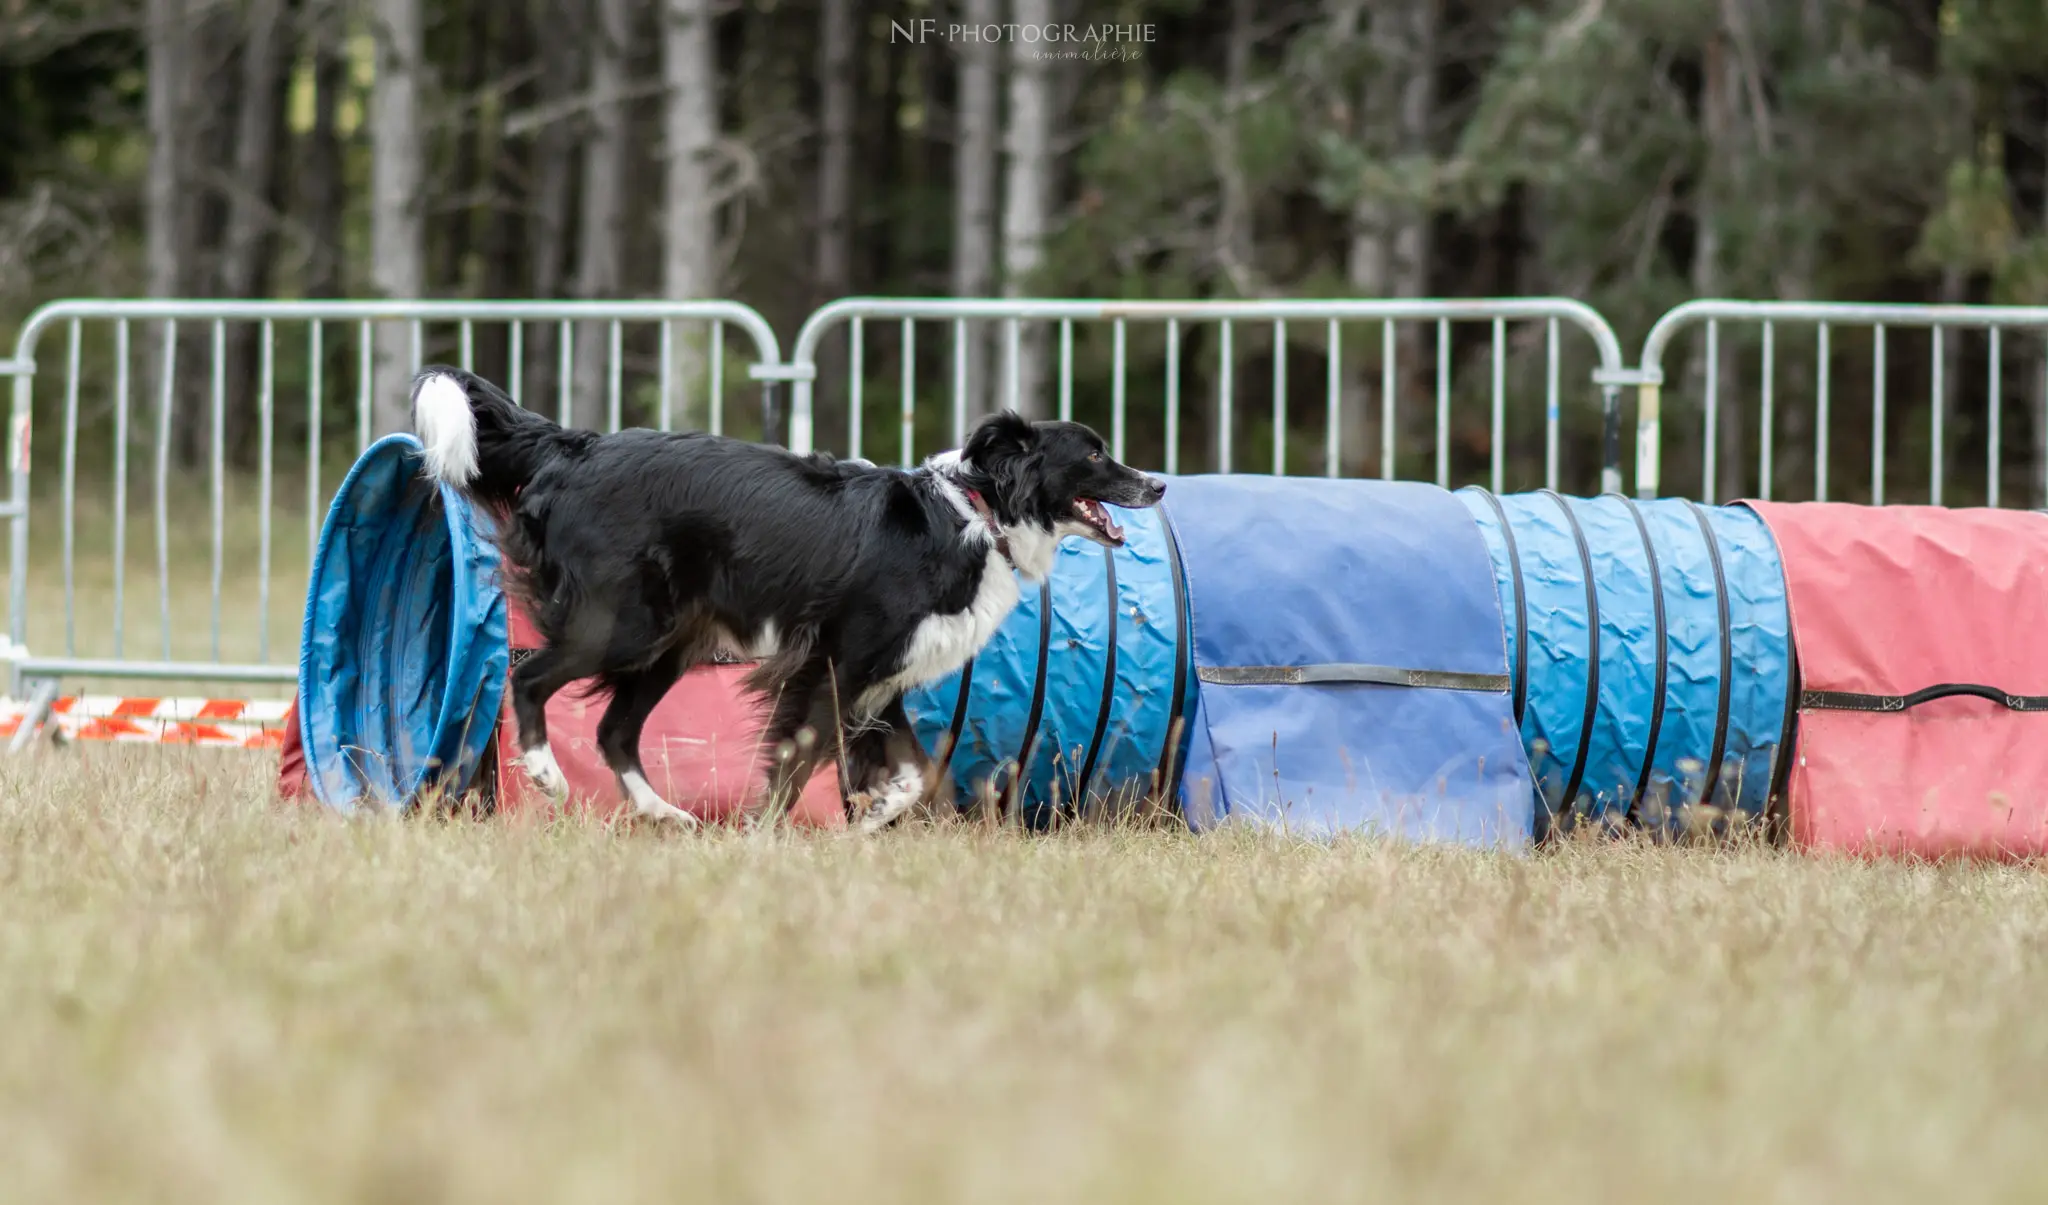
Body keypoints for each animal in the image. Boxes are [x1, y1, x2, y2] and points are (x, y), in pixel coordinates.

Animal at [407, 364, 1171, 827]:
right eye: (1094, 452)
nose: (1160, 484)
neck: (978, 512)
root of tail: (576, 447)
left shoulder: (880, 682)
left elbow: (915, 773)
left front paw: (870, 815)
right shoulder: (832, 667)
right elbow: (798, 759)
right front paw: (768, 836)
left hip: (670, 643)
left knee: (613, 729)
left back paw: (663, 814)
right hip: (625, 623)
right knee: (531, 677)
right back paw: (546, 775)